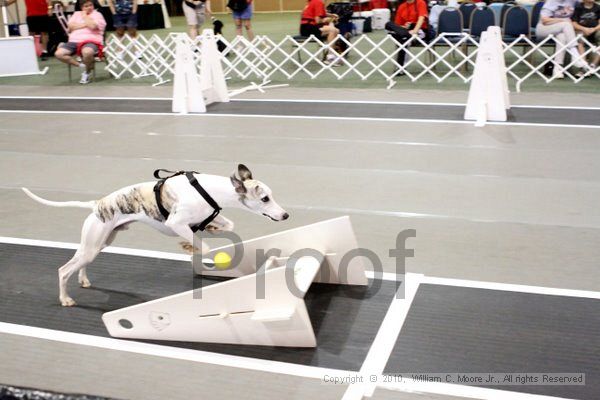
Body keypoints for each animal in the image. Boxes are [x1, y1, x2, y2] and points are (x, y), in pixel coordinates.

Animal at [21, 164, 288, 308]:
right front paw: (193, 248)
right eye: (265, 198)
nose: (285, 215)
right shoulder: (176, 223)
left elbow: (225, 224)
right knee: (63, 270)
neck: (208, 190)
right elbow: (200, 245)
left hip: (98, 244)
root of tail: (97, 204)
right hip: (93, 244)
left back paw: (83, 280)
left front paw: (208, 233)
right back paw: (66, 299)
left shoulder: (206, 218)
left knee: (79, 264)